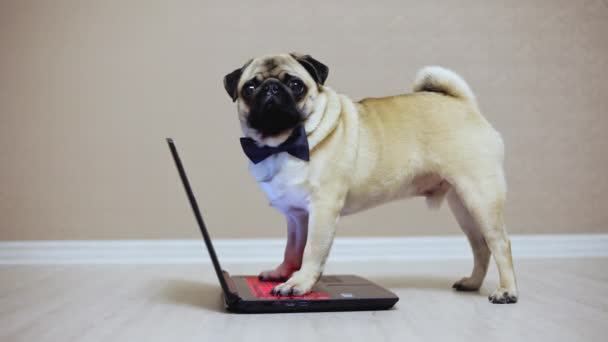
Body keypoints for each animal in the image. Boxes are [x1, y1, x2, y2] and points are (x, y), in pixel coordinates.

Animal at [223, 53, 516, 304]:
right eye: (250, 87)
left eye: (296, 85)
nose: (271, 89)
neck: (282, 144)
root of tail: (463, 103)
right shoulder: (297, 216)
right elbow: (292, 249)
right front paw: (283, 273)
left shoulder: (322, 209)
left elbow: (312, 251)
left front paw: (299, 283)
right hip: (462, 205)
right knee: (480, 247)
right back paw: (472, 283)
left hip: (480, 196)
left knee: (500, 244)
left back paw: (507, 291)